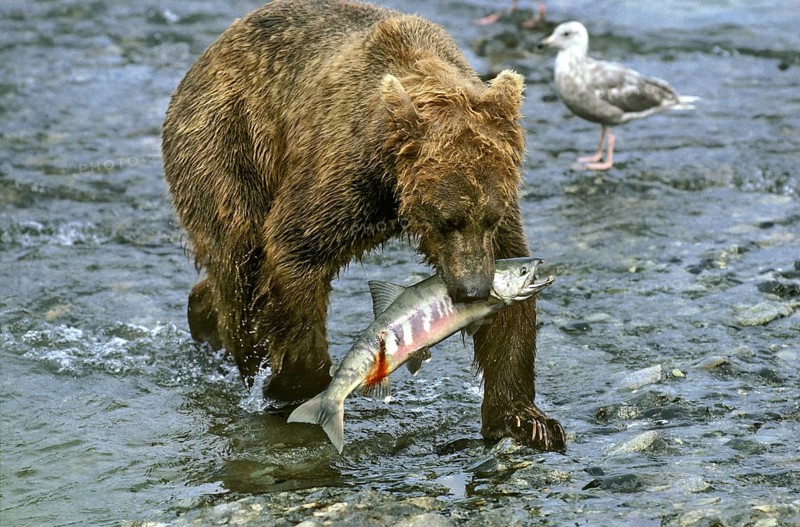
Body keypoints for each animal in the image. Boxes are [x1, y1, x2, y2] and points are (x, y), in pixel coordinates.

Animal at [162, 0, 565, 451]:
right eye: (447, 220)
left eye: (489, 217)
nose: (473, 290)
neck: (393, 187)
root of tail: (207, 55)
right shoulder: (345, 173)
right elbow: (294, 248)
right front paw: (295, 385)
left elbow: (512, 306)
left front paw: (526, 419)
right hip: (228, 144)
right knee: (239, 267)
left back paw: (202, 315)